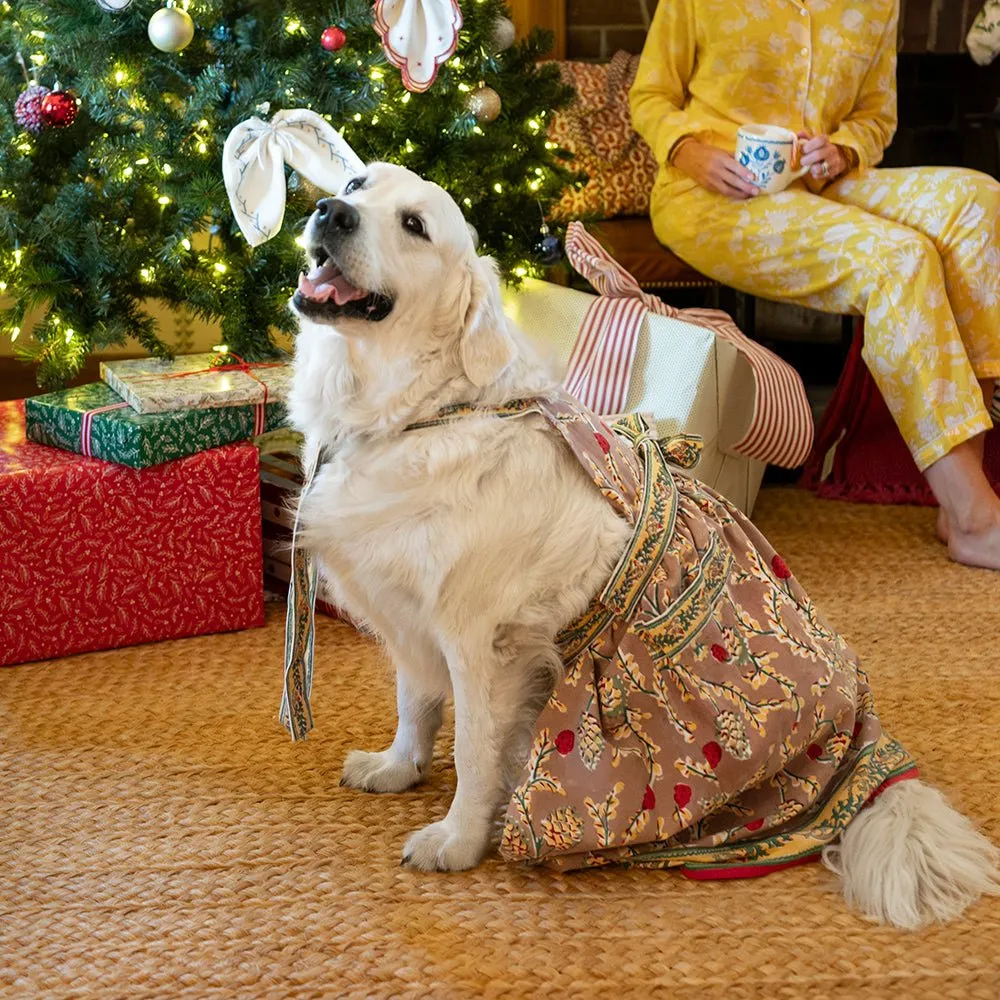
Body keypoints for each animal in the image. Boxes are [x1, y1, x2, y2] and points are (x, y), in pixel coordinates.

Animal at [286, 162, 996, 928]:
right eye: (356, 184)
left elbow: (474, 749)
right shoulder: (411, 618)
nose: (329, 212)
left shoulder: (482, 642)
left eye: (415, 225)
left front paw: (457, 838)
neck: (422, 411)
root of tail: (863, 740)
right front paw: (398, 766)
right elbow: (414, 704)